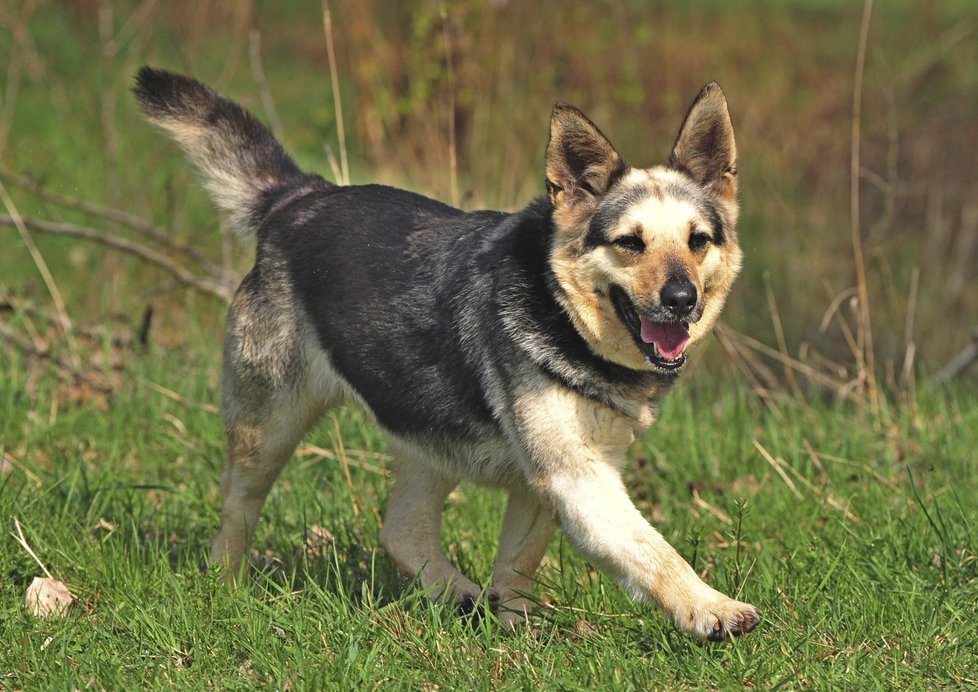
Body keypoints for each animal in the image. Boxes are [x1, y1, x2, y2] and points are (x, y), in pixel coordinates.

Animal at [133, 67, 760, 640]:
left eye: (698, 241)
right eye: (630, 243)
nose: (681, 300)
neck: (562, 312)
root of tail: (300, 196)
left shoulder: (551, 482)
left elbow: (517, 567)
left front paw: (517, 632)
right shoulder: (577, 477)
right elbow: (652, 550)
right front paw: (711, 608)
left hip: (428, 434)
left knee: (400, 532)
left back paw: (457, 594)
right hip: (268, 427)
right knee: (236, 509)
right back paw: (226, 586)